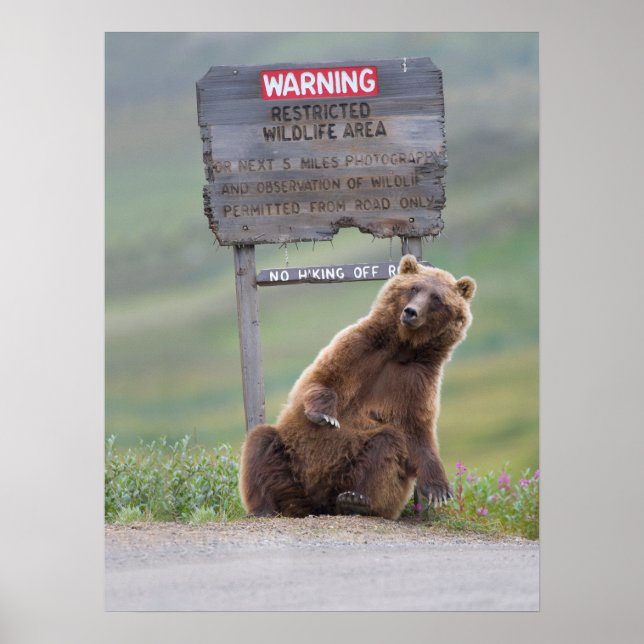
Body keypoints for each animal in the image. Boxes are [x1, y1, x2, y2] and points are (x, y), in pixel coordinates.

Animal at [239, 254, 476, 520]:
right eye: (413, 288)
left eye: (437, 299)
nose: (411, 312)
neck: (401, 348)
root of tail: (316, 506)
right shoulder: (359, 347)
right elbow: (321, 379)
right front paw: (326, 415)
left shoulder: (416, 379)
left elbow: (417, 429)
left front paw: (439, 489)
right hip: (291, 456)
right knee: (261, 443)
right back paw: (265, 508)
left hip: (349, 471)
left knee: (386, 443)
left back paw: (356, 500)